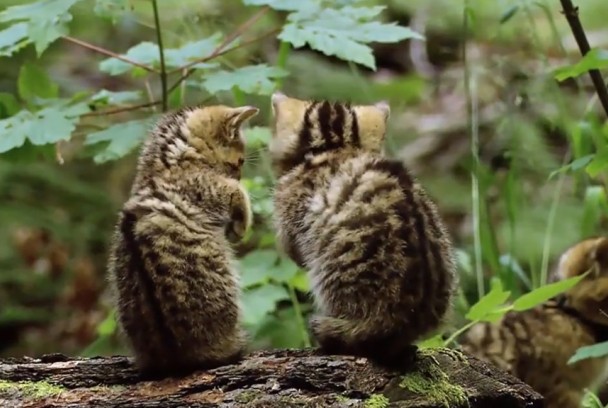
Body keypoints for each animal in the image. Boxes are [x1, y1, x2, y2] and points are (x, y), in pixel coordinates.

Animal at [107, 103, 258, 378]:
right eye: (239, 162)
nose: (240, 174)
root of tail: (176, 356)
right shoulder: (210, 189)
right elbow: (237, 192)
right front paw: (241, 224)